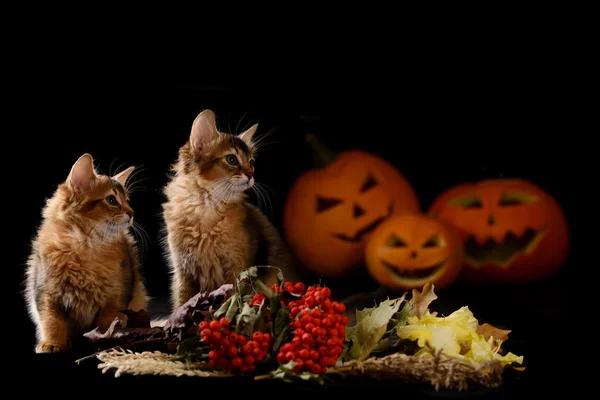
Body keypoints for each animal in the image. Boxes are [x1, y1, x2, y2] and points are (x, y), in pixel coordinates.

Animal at [24, 153, 149, 354]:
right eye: (112, 200)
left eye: (127, 200)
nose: (132, 213)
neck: (86, 245)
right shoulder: (46, 292)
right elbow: (51, 322)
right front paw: (52, 343)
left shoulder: (116, 297)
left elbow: (108, 323)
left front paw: (106, 342)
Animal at [162, 110, 298, 312]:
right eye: (232, 159)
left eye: (251, 162)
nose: (251, 175)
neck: (206, 208)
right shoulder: (183, 272)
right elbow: (181, 302)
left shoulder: (237, 269)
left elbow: (229, 302)